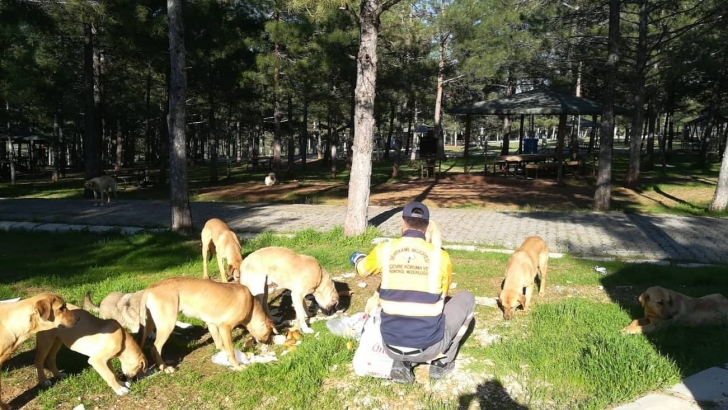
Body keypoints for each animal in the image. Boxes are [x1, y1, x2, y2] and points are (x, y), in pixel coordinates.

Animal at [137, 278, 276, 374]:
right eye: (269, 333)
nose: (269, 342)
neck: (251, 305)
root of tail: (150, 288)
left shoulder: (212, 325)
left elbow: (221, 346)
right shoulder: (225, 327)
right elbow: (230, 350)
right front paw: (237, 366)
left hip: (149, 326)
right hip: (167, 325)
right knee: (154, 349)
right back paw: (165, 368)